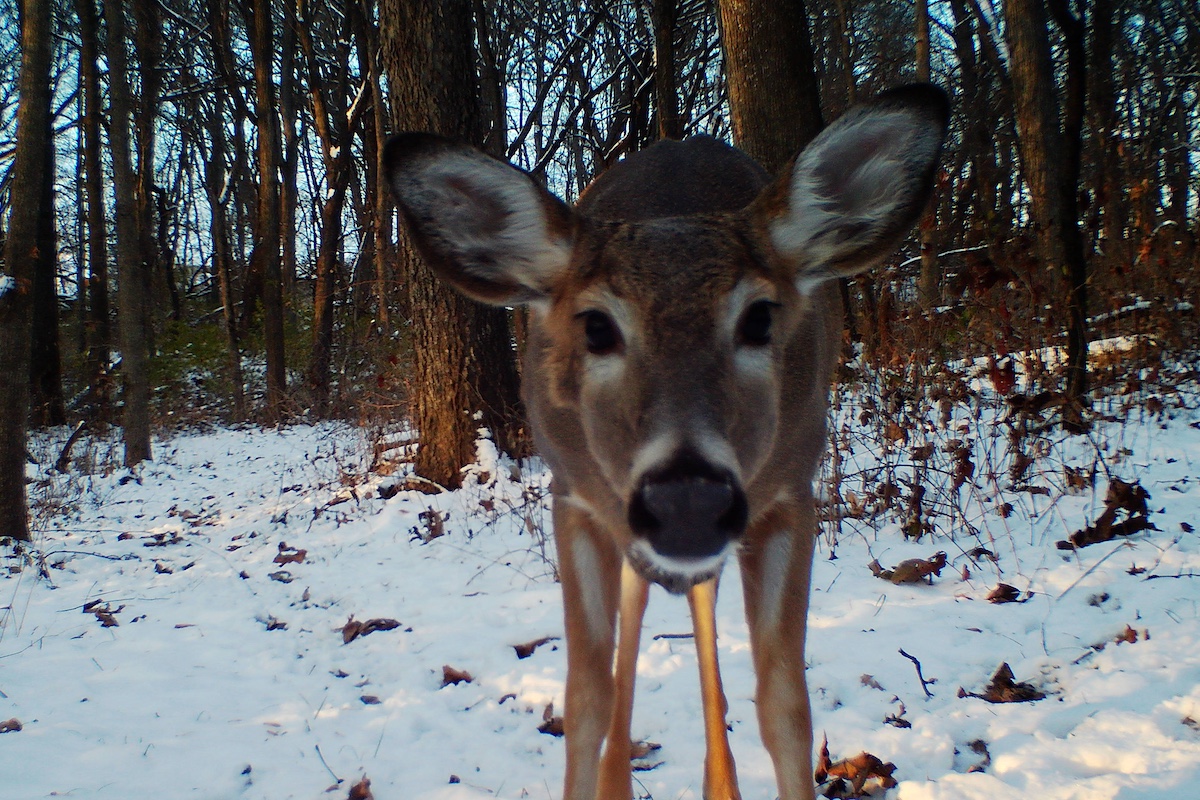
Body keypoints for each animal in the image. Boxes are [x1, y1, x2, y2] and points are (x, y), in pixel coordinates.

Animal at [384, 84, 949, 800]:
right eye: (596, 326)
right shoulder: (576, 498)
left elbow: (784, 703)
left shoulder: (790, 491)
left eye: (759, 318)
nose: (688, 500)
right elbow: (588, 696)